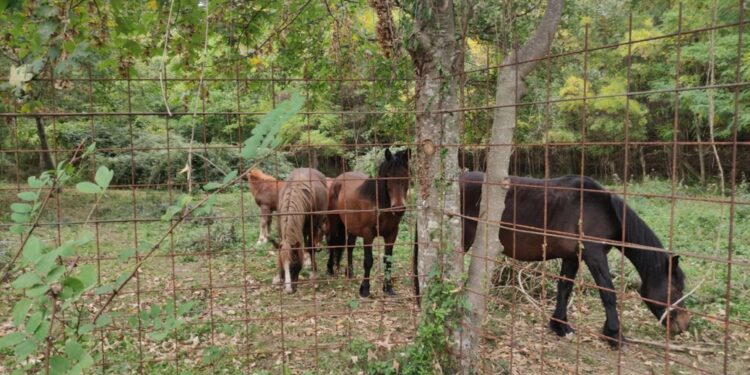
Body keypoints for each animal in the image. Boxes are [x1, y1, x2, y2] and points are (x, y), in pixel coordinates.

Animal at [328, 148, 412, 298]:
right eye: (388, 175)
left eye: (406, 175)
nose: (398, 209)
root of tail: (337, 180)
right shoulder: (368, 234)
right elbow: (368, 261)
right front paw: (365, 289)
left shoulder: (392, 234)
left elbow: (388, 260)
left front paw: (388, 288)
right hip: (334, 222)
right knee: (332, 243)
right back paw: (330, 270)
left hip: (351, 226)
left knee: (350, 246)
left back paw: (350, 272)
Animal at [462, 172, 696, 348]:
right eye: (675, 290)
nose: (684, 323)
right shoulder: (595, 255)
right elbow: (608, 293)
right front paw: (614, 335)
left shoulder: (572, 257)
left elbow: (565, 288)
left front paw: (560, 325)